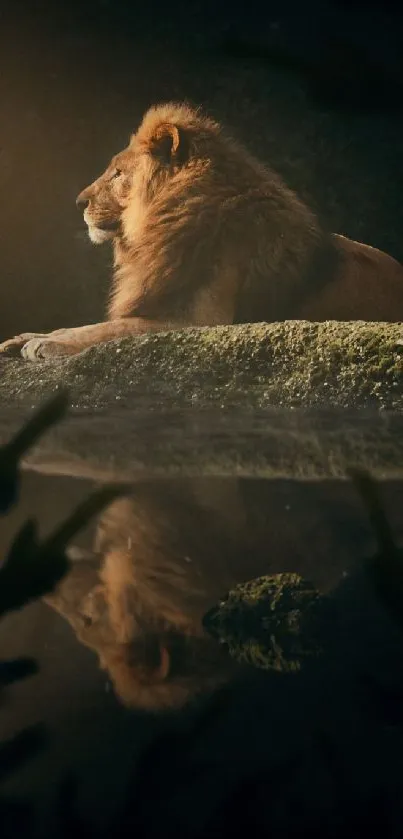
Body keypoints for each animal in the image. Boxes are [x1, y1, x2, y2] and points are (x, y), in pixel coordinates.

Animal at [0, 102, 403, 360]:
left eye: (117, 174)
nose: (79, 202)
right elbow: (100, 324)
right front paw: (27, 336)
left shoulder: (200, 322)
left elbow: (109, 329)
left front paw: (47, 343)